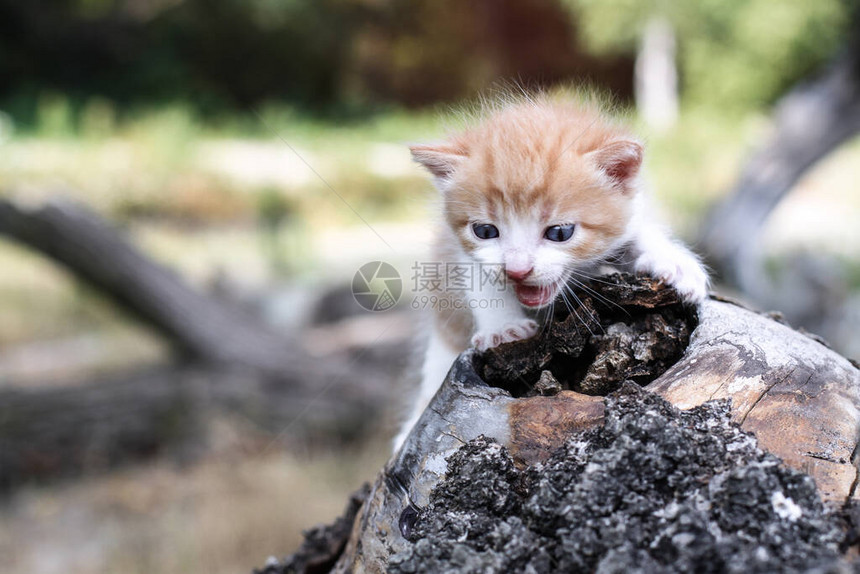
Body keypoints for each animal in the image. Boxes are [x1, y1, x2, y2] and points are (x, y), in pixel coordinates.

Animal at [394, 93, 708, 450]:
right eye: (485, 231)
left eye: (559, 233)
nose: (518, 270)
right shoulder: (457, 250)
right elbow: (479, 277)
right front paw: (504, 327)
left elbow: (638, 230)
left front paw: (675, 263)